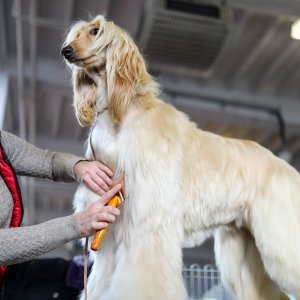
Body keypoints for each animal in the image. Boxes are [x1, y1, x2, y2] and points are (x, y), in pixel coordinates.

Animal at [61, 15, 300, 300]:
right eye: (76, 34)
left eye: (95, 31)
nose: (65, 51)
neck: (120, 119)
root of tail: (287, 167)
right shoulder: (109, 223)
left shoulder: (148, 219)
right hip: (243, 247)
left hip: (279, 236)